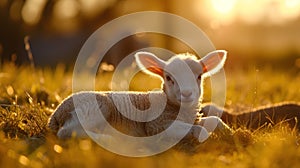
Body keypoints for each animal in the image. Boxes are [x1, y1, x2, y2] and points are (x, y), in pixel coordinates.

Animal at [48, 50, 233, 143]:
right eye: (169, 78)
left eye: (199, 76)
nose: (187, 93)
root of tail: (54, 116)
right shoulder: (156, 125)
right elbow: (200, 131)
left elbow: (214, 120)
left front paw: (231, 132)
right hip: (94, 108)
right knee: (67, 132)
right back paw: (108, 139)